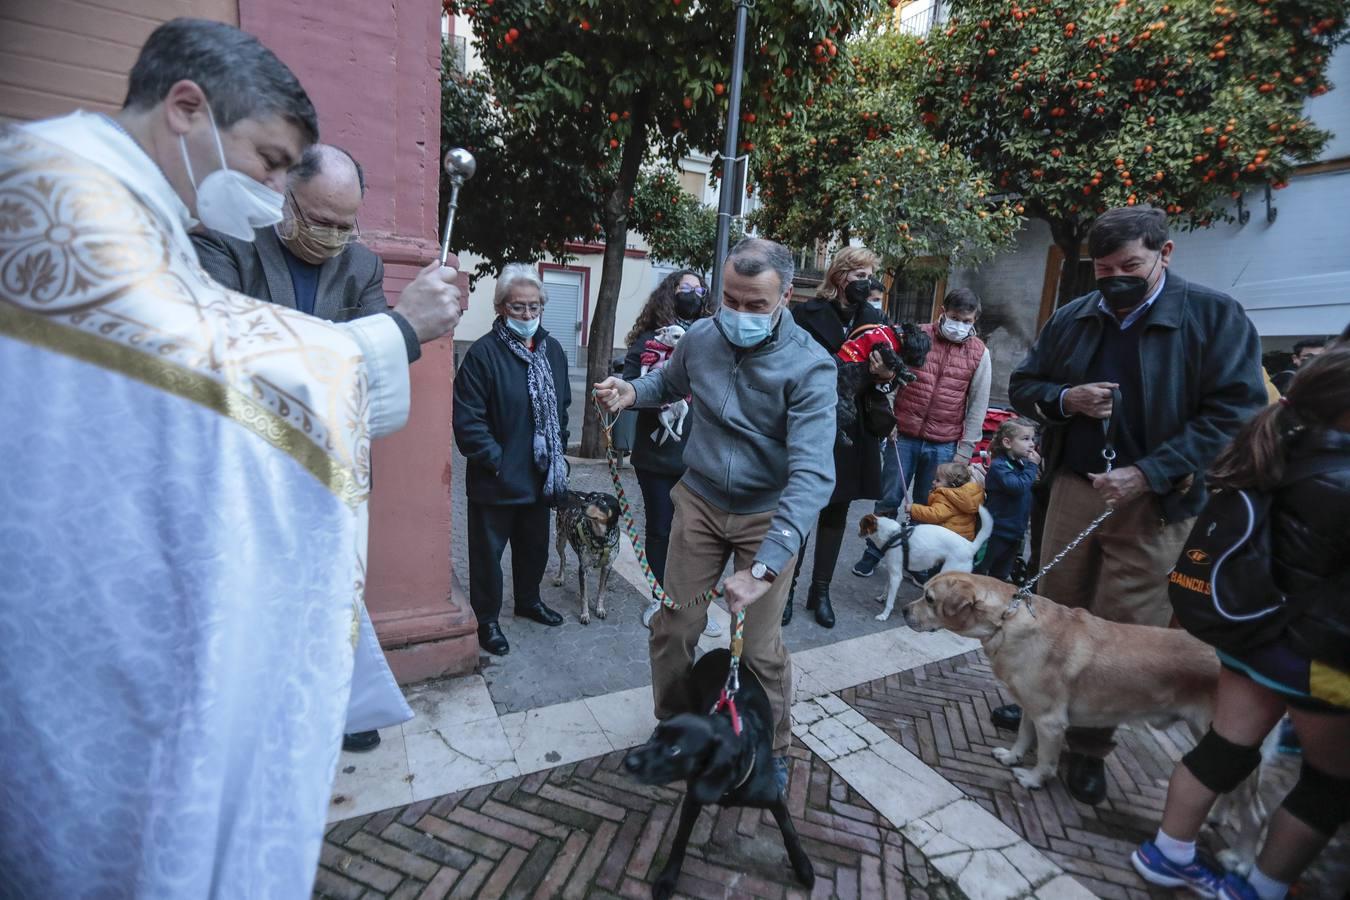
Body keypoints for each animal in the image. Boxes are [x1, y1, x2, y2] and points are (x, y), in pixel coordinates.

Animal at [621, 650, 810, 895]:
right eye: (655, 734)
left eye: (675, 750)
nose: (629, 762)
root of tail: (722, 650)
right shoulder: (693, 799)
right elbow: (680, 839)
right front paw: (668, 879)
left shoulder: (774, 798)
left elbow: (790, 832)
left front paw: (803, 867)